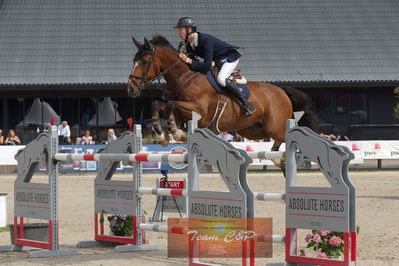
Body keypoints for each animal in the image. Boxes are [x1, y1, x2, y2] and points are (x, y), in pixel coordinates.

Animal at [128, 34, 318, 165]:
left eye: (144, 61)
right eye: (134, 60)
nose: (130, 88)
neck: (184, 78)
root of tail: (282, 91)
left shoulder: (199, 112)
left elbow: (170, 106)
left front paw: (177, 133)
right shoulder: (182, 114)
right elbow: (159, 104)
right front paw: (162, 136)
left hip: (275, 127)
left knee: (285, 138)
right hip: (254, 130)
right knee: (275, 147)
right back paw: (279, 162)